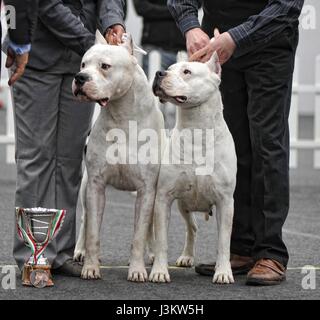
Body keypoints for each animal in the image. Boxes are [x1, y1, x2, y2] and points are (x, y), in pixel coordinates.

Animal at [72, 31, 165, 282]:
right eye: (83, 64)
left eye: (105, 66)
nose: (80, 78)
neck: (122, 116)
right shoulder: (96, 185)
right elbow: (93, 231)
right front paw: (91, 267)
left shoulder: (147, 189)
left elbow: (139, 234)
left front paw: (137, 270)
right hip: (84, 187)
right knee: (84, 220)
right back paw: (79, 251)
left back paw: (151, 254)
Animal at [150, 53, 238, 284]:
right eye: (170, 68)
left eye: (187, 72)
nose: (159, 73)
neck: (196, 131)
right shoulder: (163, 198)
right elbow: (161, 240)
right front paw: (159, 271)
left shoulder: (225, 202)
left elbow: (223, 242)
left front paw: (223, 272)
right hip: (184, 204)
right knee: (193, 228)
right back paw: (186, 256)